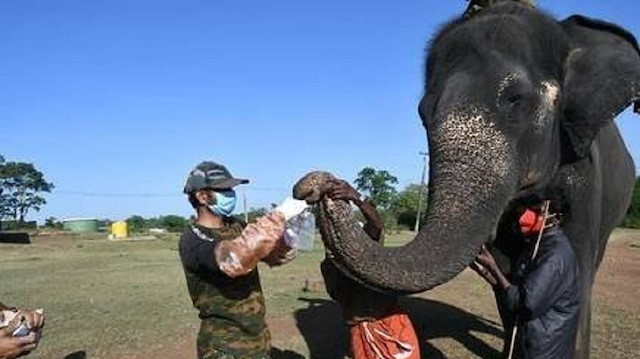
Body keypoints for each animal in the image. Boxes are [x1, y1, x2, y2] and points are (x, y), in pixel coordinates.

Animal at [294, 2, 640, 359]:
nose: (316, 184)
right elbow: (511, 275)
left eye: (515, 99)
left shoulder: (585, 167)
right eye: (422, 113)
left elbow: (577, 265)